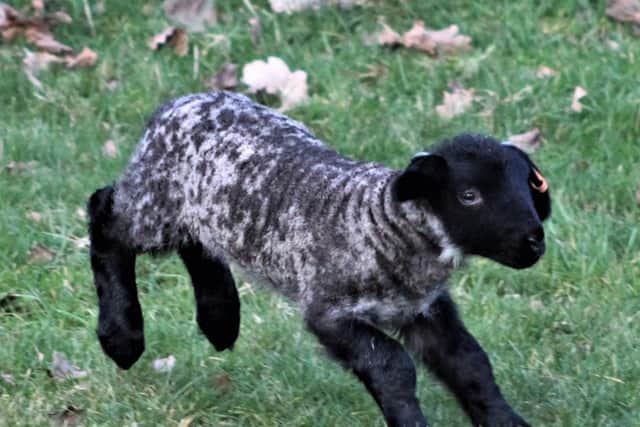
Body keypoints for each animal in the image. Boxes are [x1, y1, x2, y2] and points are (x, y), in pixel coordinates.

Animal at [88, 91, 551, 427]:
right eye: (469, 195)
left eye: (528, 185)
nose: (534, 241)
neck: (386, 227)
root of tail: (173, 106)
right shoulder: (329, 310)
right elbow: (394, 366)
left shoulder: (424, 309)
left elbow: (469, 363)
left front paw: (508, 423)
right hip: (155, 202)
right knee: (105, 215)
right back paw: (122, 338)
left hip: (199, 210)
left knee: (198, 244)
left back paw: (220, 320)